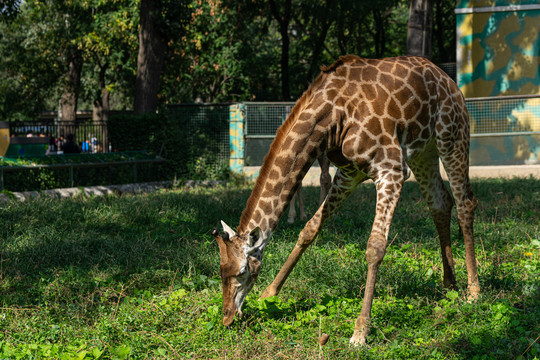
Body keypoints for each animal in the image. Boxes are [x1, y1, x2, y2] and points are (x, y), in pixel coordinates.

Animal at [213, 54, 478, 344]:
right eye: (221, 271)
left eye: (242, 272)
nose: (228, 318)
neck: (331, 117)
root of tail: (449, 80)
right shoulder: (349, 173)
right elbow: (309, 230)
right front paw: (269, 293)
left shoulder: (391, 169)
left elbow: (375, 247)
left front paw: (361, 330)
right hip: (423, 151)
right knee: (440, 202)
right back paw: (449, 284)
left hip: (452, 138)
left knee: (465, 203)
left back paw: (473, 291)